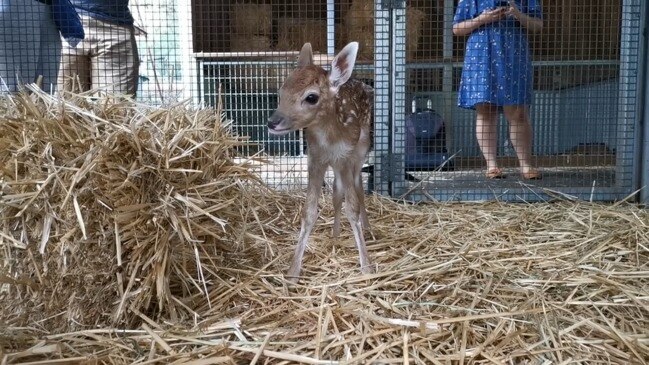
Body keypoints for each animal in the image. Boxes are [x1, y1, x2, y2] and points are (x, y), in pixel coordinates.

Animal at [266, 41, 372, 278]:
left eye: (311, 97)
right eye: (281, 91)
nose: (272, 122)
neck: (330, 142)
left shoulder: (346, 157)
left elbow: (352, 207)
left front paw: (366, 267)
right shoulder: (315, 159)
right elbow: (309, 212)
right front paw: (293, 272)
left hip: (361, 151)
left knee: (359, 185)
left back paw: (368, 229)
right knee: (336, 191)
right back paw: (335, 234)